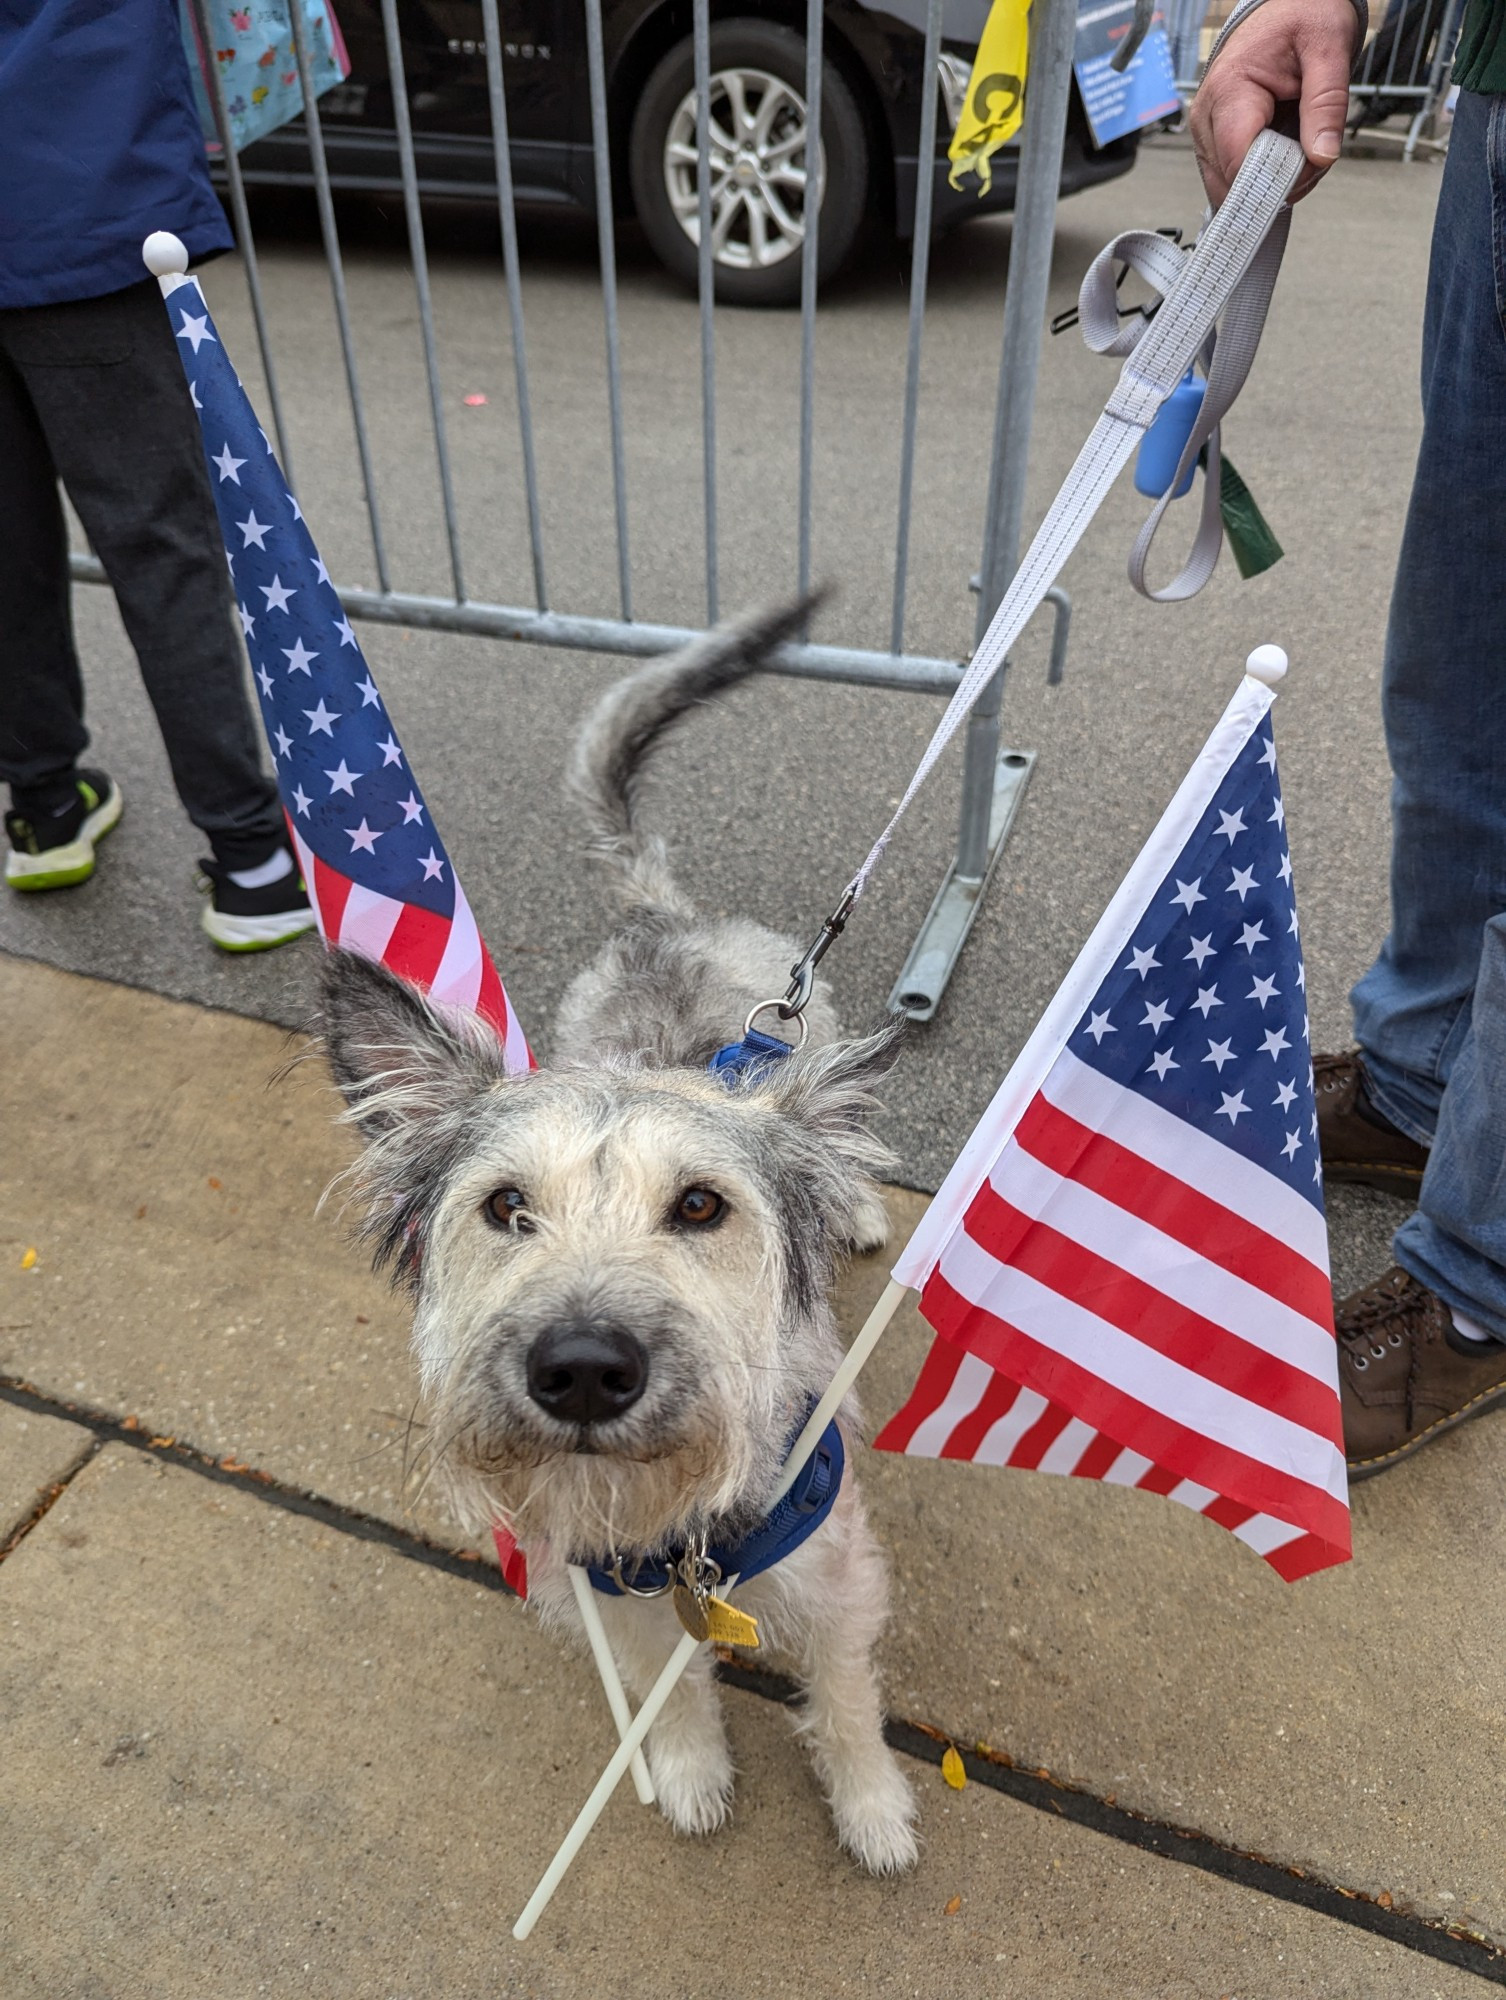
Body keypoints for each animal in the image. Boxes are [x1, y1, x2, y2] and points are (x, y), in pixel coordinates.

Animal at [322, 596, 916, 1872]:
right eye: (507, 1207)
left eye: (699, 1204)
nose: (584, 1370)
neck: (675, 1534)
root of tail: (658, 918)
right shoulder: (613, 1593)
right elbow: (668, 1686)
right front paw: (687, 1768)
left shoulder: (839, 1575)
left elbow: (845, 1695)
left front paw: (874, 1807)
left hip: (818, 1037)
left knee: (839, 1128)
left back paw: (849, 1195)